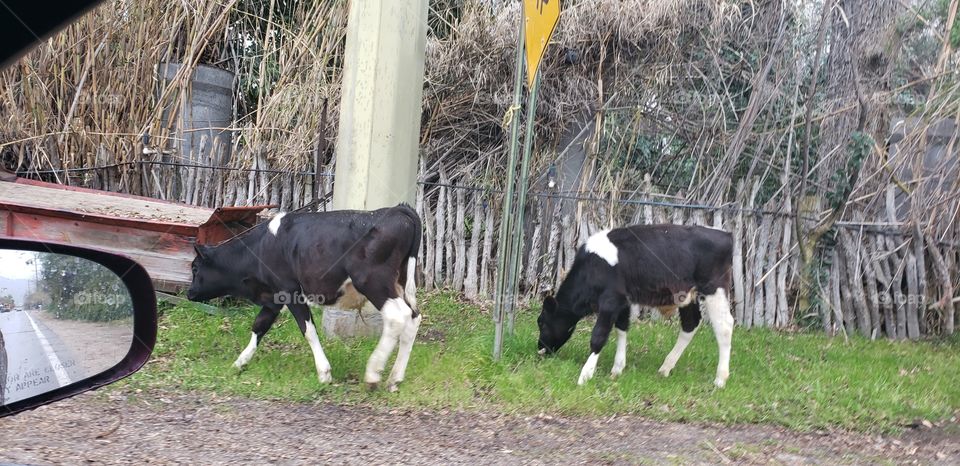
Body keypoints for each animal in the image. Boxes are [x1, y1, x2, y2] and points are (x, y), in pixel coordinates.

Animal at [187, 204, 422, 392]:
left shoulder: (290, 292)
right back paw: (394, 379)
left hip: (373, 281)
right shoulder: (274, 297)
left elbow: (307, 330)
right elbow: (259, 325)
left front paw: (324, 373)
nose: (189, 293)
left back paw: (373, 374)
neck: (259, 248)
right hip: (400, 282)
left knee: (397, 317)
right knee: (413, 318)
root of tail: (397, 209)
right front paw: (240, 362)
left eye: (195, 268)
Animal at [537, 224, 734, 388]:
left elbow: (599, 335)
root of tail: (725, 234)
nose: (540, 349)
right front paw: (617, 368)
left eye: (541, 322)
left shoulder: (610, 299)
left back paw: (720, 379)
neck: (591, 268)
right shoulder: (623, 300)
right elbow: (622, 328)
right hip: (687, 295)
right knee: (690, 324)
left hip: (713, 287)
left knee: (724, 326)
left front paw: (585, 375)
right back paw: (665, 368)